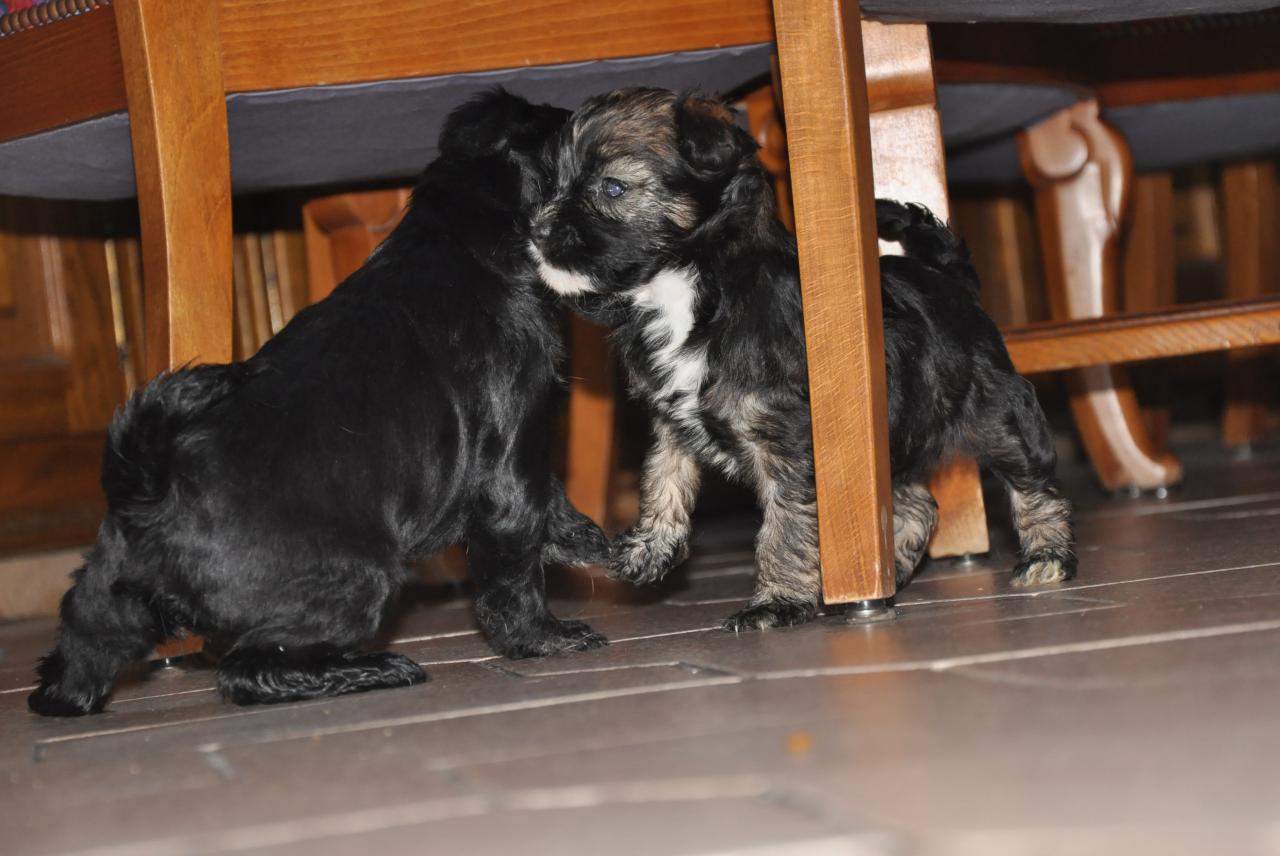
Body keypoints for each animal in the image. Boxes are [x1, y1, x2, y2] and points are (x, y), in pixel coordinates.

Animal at [29, 90, 610, 717]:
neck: (459, 235)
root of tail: (147, 491)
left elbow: (552, 504)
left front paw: (593, 541)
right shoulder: (510, 460)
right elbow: (517, 557)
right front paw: (544, 637)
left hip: (104, 602)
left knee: (80, 653)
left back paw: (61, 694)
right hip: (358, 579)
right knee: (250, 668)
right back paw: (373, 669)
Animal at [529, 87, 1076, 631]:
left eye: (613, 187)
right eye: (554, 182)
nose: (537, 231)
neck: (691, 286)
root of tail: (952, 281)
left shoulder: (788, 442)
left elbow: (785, 525)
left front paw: (777, 601)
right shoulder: (673, 419)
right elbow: (664, 477)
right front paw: (649, 549)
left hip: (996, 414)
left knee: (1034, 485)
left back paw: (1045, 556)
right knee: (919, 502)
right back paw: (890, 569)